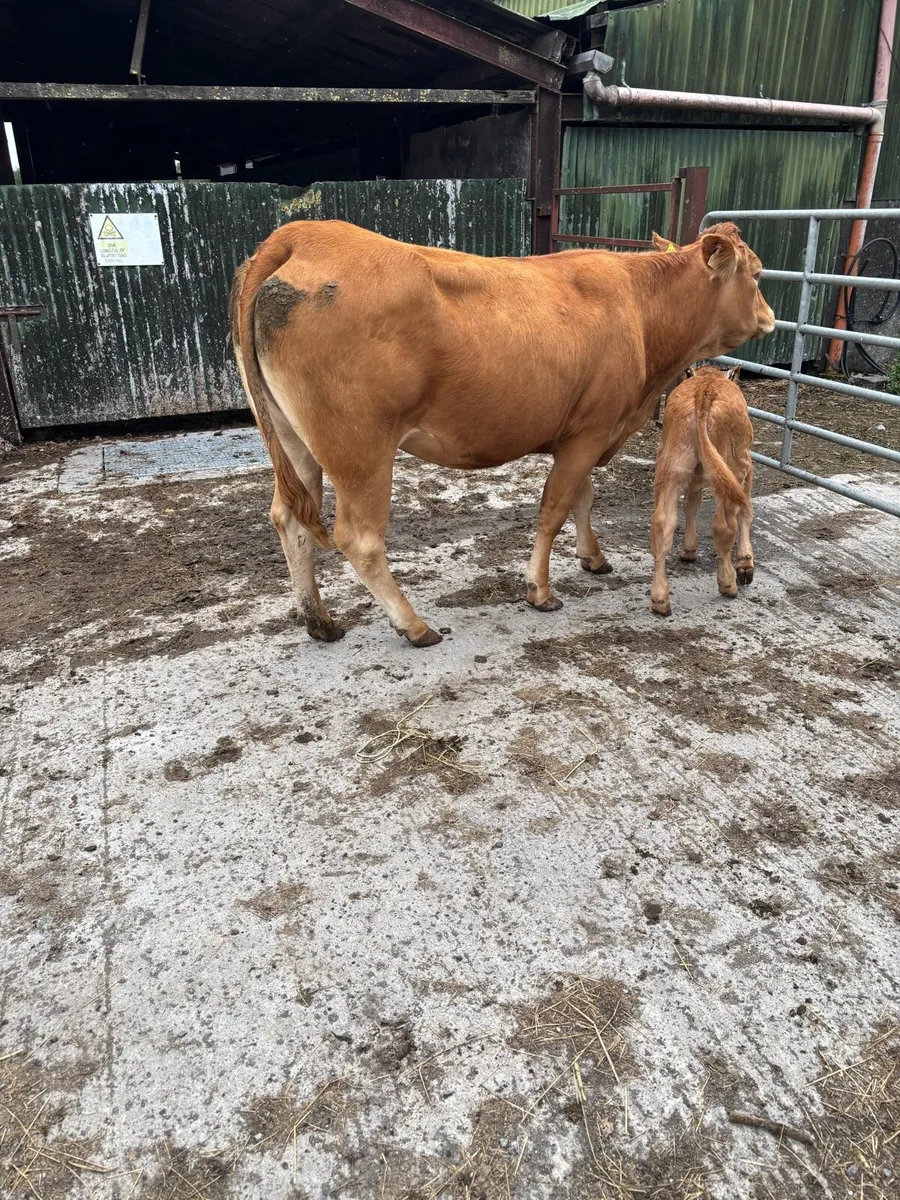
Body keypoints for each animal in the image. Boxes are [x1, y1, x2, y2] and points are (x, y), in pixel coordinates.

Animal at [649, 365, 755, 617]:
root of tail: (704, 391)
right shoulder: (747, 468)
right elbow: (746, 512)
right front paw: (746, 563)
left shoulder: (695, 477)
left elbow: (691, 505)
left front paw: (689, 549)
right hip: (733, 467)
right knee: (724, 524)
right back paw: (728, 583)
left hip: (671, 466)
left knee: (662, 523)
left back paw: (660, 599)